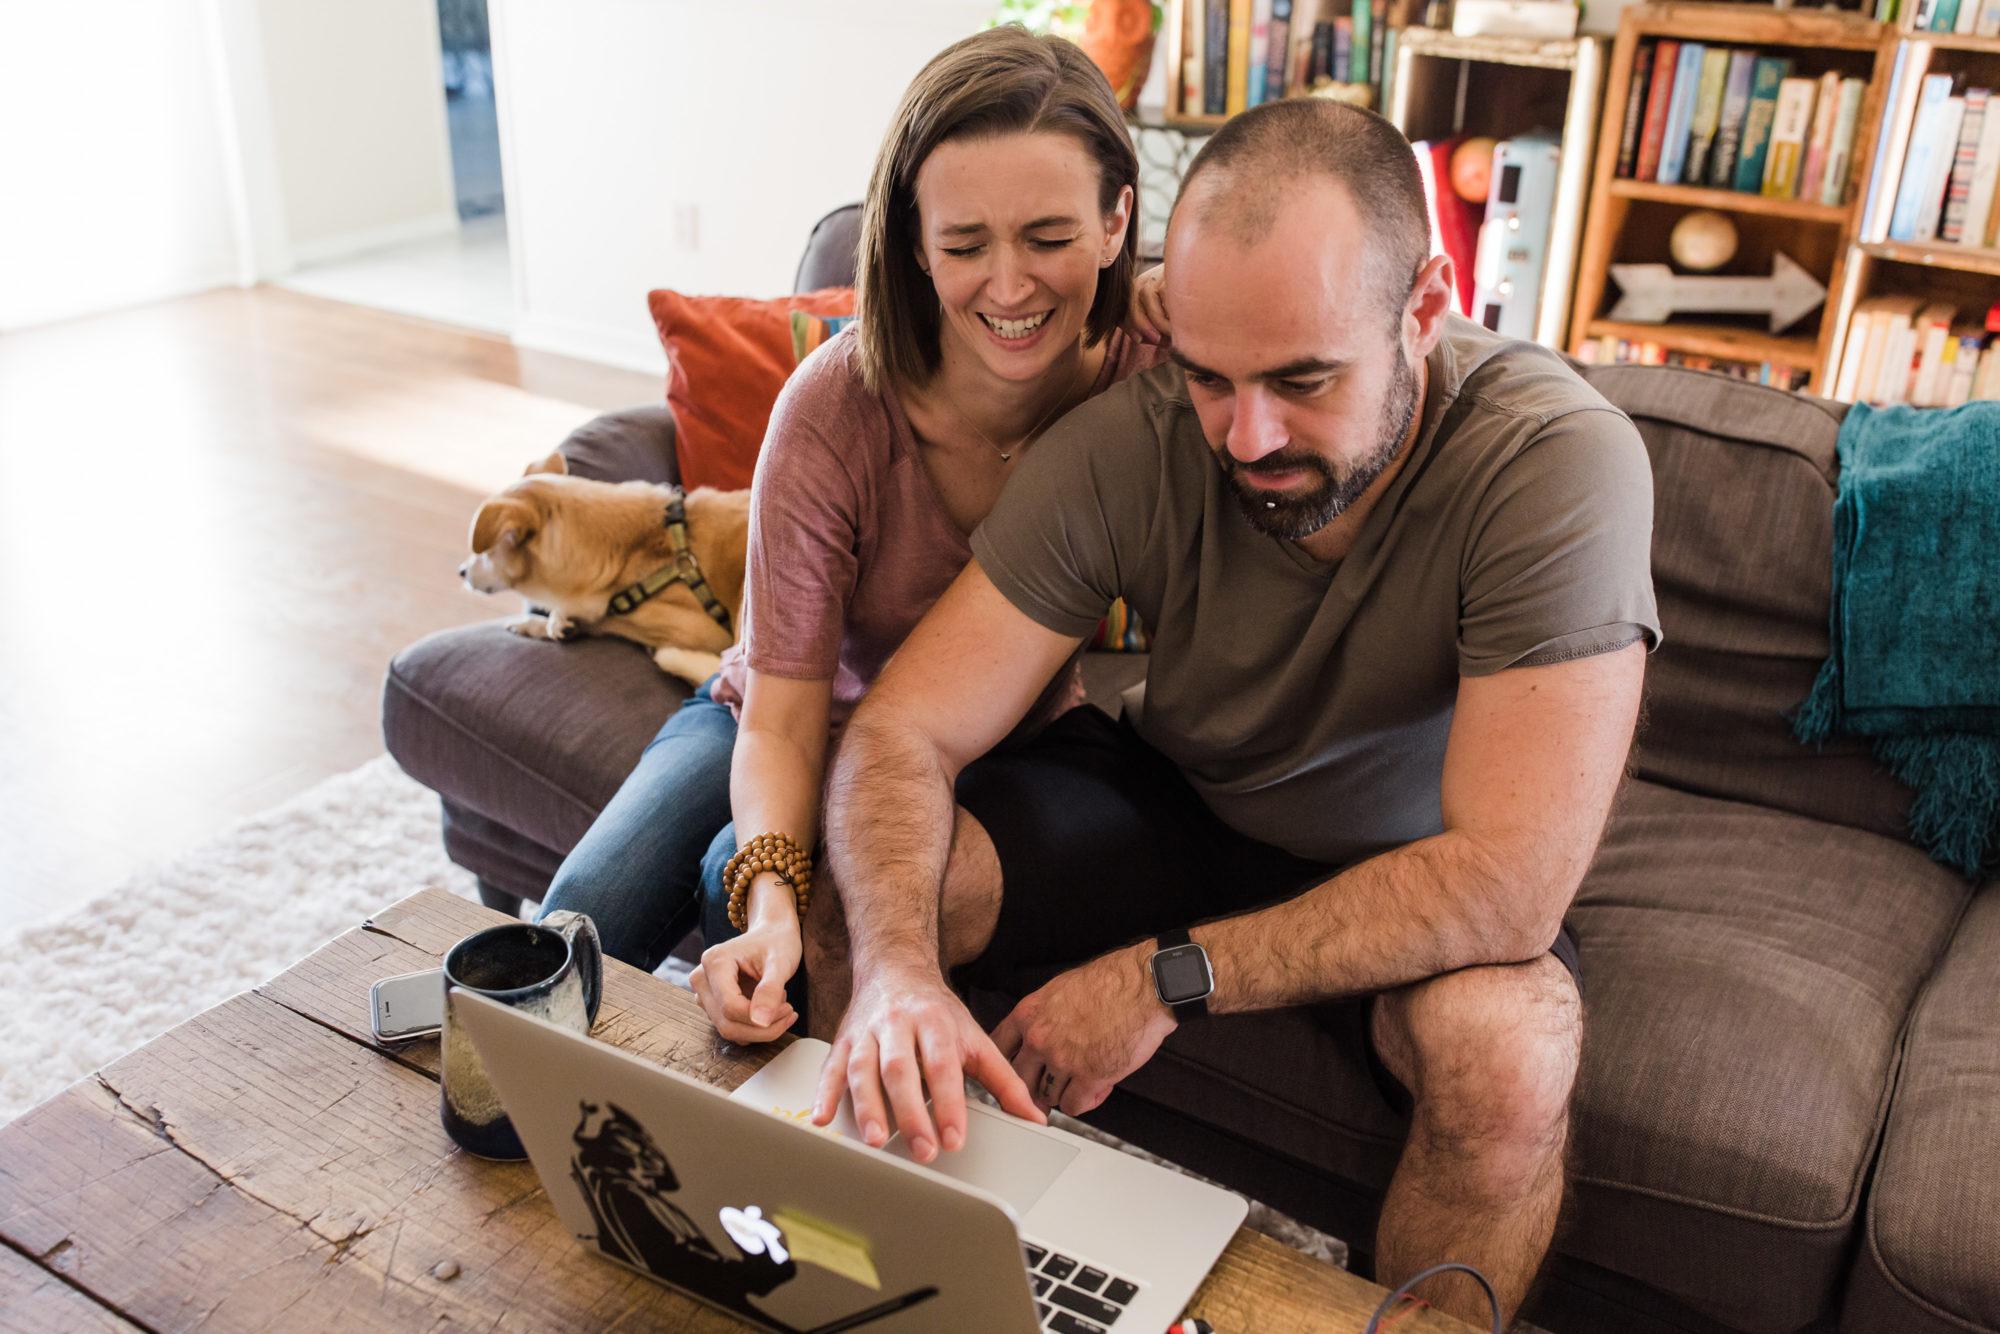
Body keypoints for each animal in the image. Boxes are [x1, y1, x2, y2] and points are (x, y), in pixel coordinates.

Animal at [460, 456, 752, 688]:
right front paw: (544, 624)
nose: (461, 571)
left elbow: (608, 621)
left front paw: (553, 621)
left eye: (485, 552)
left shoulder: (700, 631)